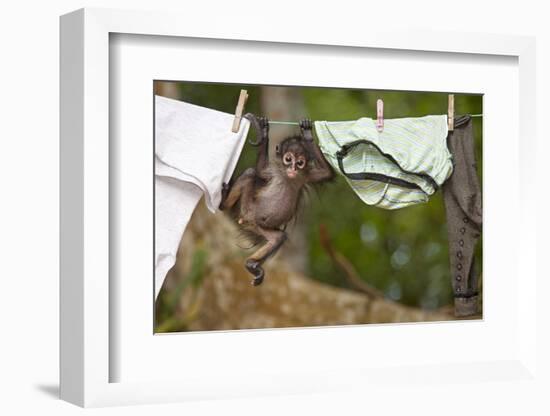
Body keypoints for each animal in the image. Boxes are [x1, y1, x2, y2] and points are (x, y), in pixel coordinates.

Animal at [221, 114, 336, 286]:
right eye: (288, 159)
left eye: (300, 162)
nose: (293, 169)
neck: (288, 177)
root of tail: (248, 220)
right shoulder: (273, 171)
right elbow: (261, 170)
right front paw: (263, 131)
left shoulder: (306, 175)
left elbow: (327, 173)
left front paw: (307, 135)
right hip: (248, 208)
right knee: (250, 173)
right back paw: (223, 203)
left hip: (260, 226)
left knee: (278, 238)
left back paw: (251, 264)